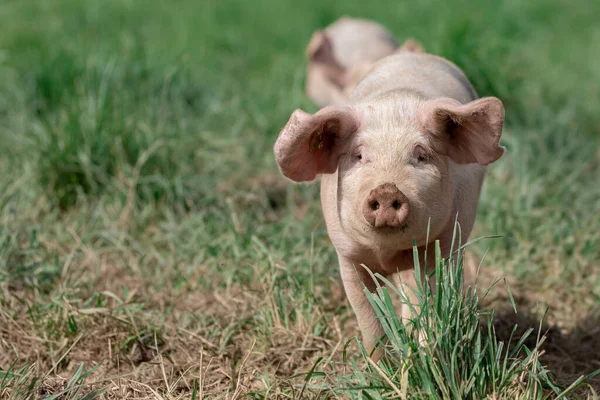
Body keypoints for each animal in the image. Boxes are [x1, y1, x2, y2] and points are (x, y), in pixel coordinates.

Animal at [274, 47, 504, 360]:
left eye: (421, 155)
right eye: (359, 156)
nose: (385, 190)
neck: (387, 252)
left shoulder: (440, 245)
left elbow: (428, 301)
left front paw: (422, 355)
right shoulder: (347, 255)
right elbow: (367, 313)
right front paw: (378, 365)